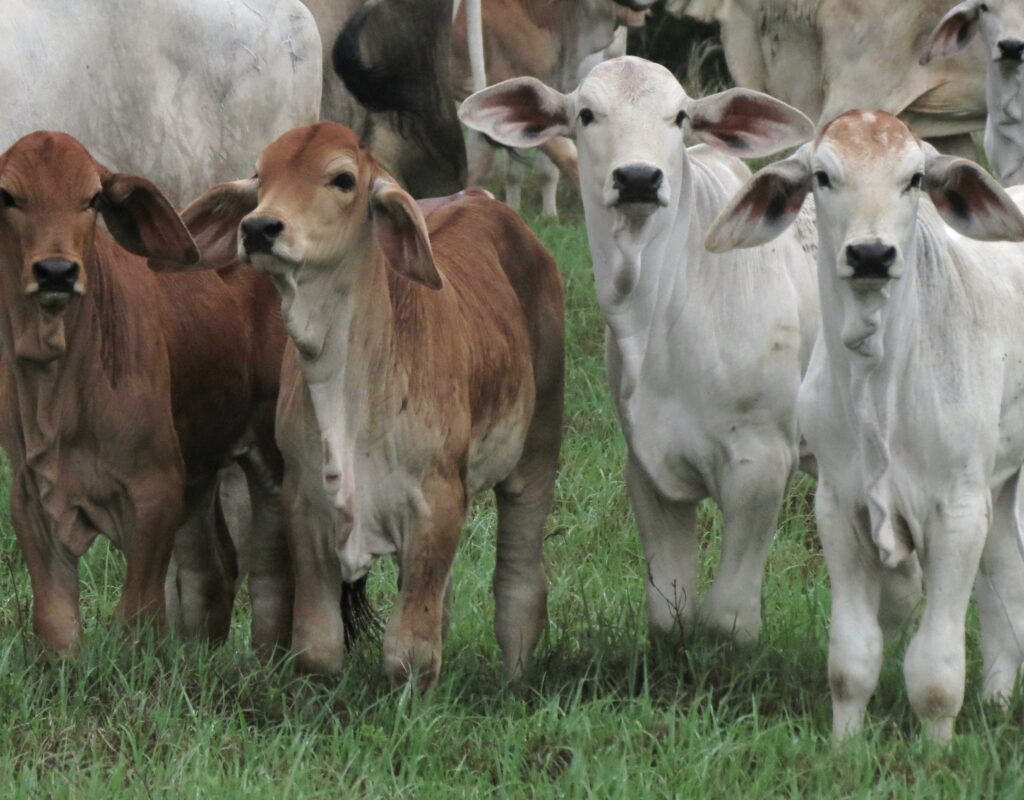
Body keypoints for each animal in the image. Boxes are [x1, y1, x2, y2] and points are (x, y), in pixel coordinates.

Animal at [0, 131, 299, 656]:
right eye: (8, 198)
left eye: (92, 200)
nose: (56, 271)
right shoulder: (31, 496)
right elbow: (56, 622)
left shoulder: (154, 490)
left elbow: (138, 616)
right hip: (199, 469)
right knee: (212, 570)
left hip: (269, 457)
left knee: (270, 574)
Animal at [179, 122, 565, 690]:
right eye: (261, 175)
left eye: (342, 179)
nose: (259, 227)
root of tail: (484, 200)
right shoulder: (305, 505)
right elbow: (318, 645)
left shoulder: (436, 502)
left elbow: (410, 650)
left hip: (537, 448)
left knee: (520, 580)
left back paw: (515, 677)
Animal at [459, 57, 818, 647]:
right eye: (586, 113)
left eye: (680, 117)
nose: (637, 179)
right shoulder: (648, 468)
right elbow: (670, 614)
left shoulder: (762, 464)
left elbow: (728, 619)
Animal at [706, 109, 1024, 742]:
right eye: (824, 177)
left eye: (916, 178)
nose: (872, 254)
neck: (879, 381)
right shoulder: (839, 506)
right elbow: (852, 659)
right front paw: (845, 746)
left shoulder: (956, 511)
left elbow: (934, 672)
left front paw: (936, 750)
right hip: (999, 490)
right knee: (1008, 581)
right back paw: (998, 701)